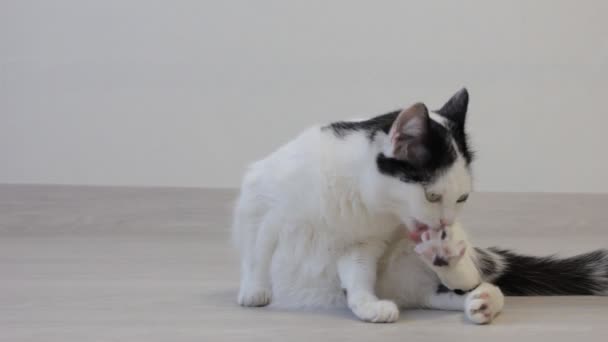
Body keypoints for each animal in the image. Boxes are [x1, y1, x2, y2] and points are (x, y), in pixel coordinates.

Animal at [230, 89, 604, 324]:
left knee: (471, 281)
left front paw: (364, 301)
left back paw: (468, 284)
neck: (360, 199)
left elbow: (358, 273)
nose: (444, 225)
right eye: (432, 196)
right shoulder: (259, 199)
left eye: (462, 198)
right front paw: (254, 290)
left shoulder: (363, 243)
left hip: (417, 256)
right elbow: (257, 248)